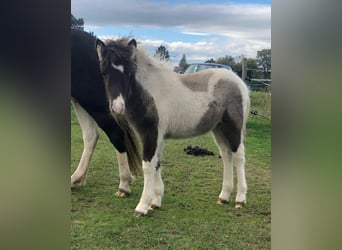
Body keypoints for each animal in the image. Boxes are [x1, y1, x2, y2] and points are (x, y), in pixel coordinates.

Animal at [95, 37, 250, 217]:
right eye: (104, 73)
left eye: (128, 73)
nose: (117, 108)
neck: (150, 91)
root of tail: (239, 81)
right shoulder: (155, 136)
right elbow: (156, 164)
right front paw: (155, 202)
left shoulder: (152, 133)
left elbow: (148, 165)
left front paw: (142, 206)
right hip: (218, 128)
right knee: (226, 155)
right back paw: (223, 197)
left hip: (233, 126)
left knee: (239, 155)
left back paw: (240, 199)